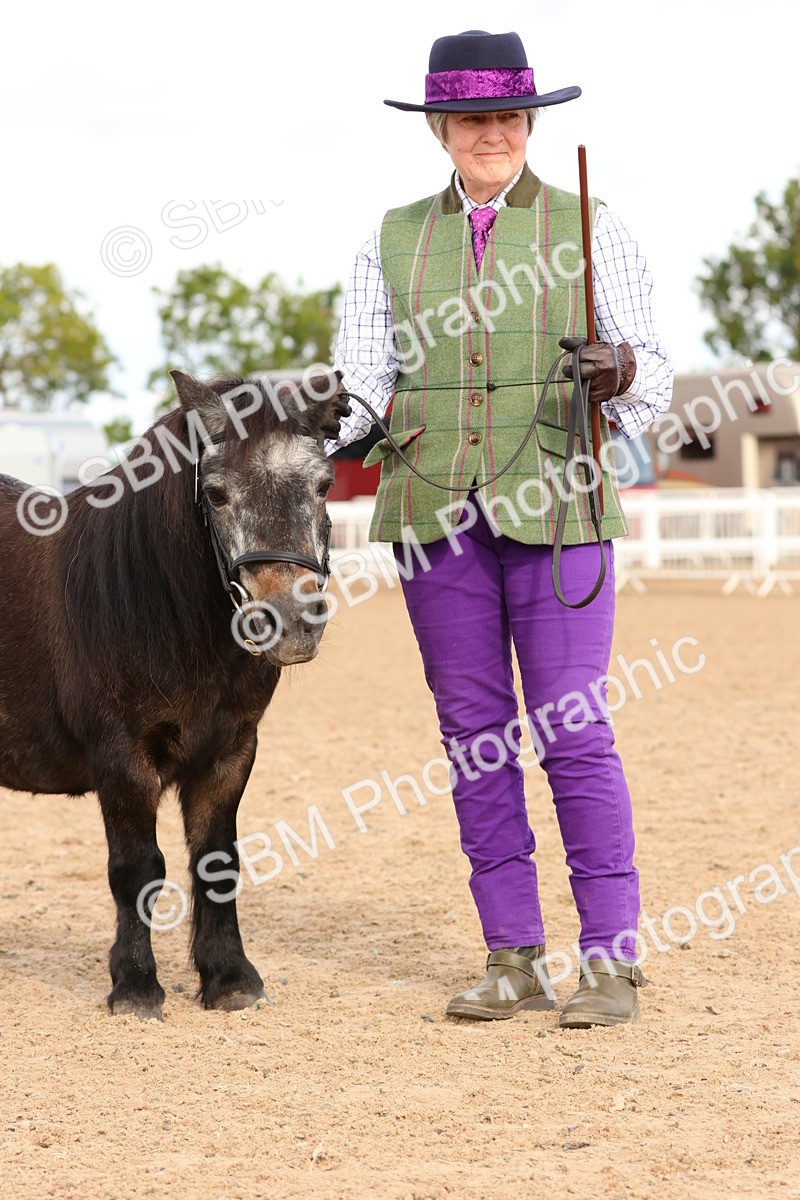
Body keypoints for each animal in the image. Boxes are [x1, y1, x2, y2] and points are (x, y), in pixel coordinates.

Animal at [0, 369, 349, 1019]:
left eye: (323, 484)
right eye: (215, 493)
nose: (290, 620)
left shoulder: (231, 752)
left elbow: (218, 861)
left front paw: (231, 978)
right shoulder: (121, 758)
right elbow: (138, 869)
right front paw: (135, 986)